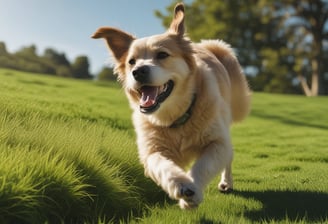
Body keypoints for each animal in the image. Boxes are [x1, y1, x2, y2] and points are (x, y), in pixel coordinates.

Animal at [91, 2, 250, 209]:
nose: (138, 71)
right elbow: (162, 166)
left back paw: (226, 182)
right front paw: (182, 186)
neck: (176, 116)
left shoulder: (217, 141)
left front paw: (193, 189)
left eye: (162, 54)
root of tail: (208, 47)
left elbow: (204, 165)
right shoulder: (151, 149)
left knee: (229, 156)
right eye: (131, 61)